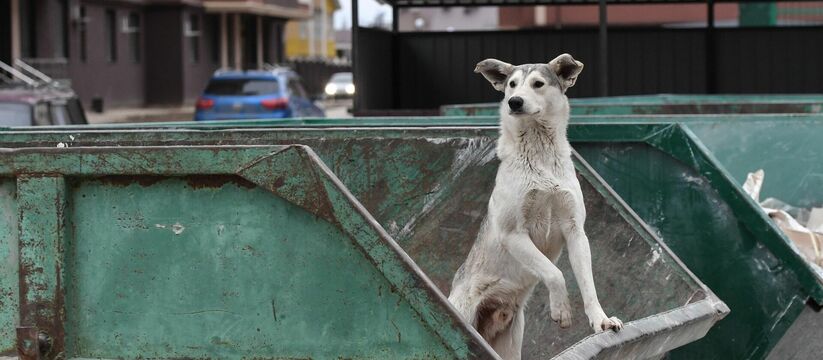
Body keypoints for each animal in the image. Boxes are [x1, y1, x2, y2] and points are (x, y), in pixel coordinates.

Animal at [450, 54, 624, 360]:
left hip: (510, 340)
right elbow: (555, 273)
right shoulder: (513, 235)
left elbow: (588, 285)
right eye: (511, 84)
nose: (514, 102)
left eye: (538, 84)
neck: (540, 155)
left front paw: (601, 321)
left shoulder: (575, 231)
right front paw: (561, 310)